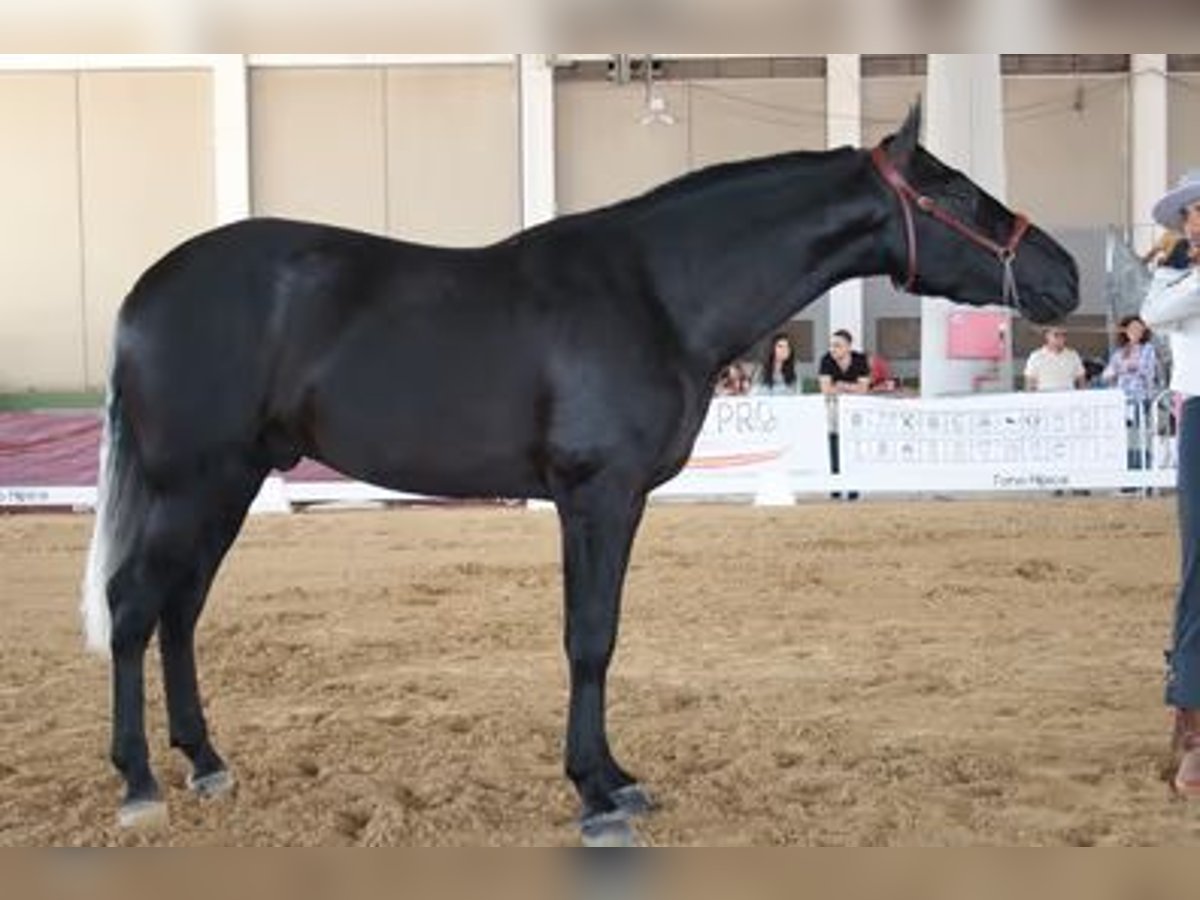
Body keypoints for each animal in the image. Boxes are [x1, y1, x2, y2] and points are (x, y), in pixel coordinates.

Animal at [84, 105, 1080, 844]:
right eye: (956, 191)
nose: (1064, 274)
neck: (655, 291)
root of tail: (144, 292)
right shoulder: (596, 496)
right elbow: (590, 639)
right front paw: (597, 796)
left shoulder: (612, 502)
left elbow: (600, 637)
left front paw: (612, 777)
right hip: (192, 483)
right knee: (135, 607)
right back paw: (140, 784)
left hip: (229, 484)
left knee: (180, 611)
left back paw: (207, 763)